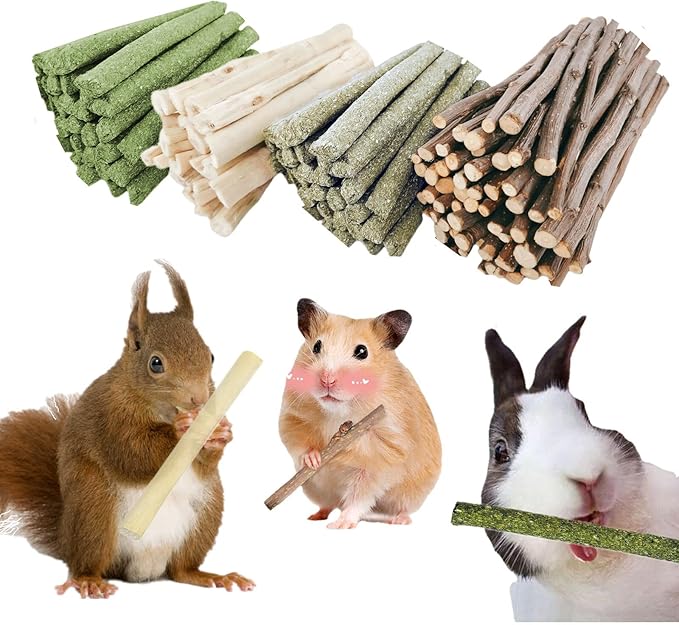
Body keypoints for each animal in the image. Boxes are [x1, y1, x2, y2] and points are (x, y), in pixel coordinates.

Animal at [0, 261, 254, 598]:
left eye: (211, 355)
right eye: (156, 363)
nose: (200, 399)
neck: (159, 408)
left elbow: (204, 464)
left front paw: (220, 433)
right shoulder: (110, 417)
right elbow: (133, 451)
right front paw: (180, 430)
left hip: (206, 514)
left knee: (181, 570)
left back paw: (213, 576)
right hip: (94, 509)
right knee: (88, 561)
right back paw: (89, 581)